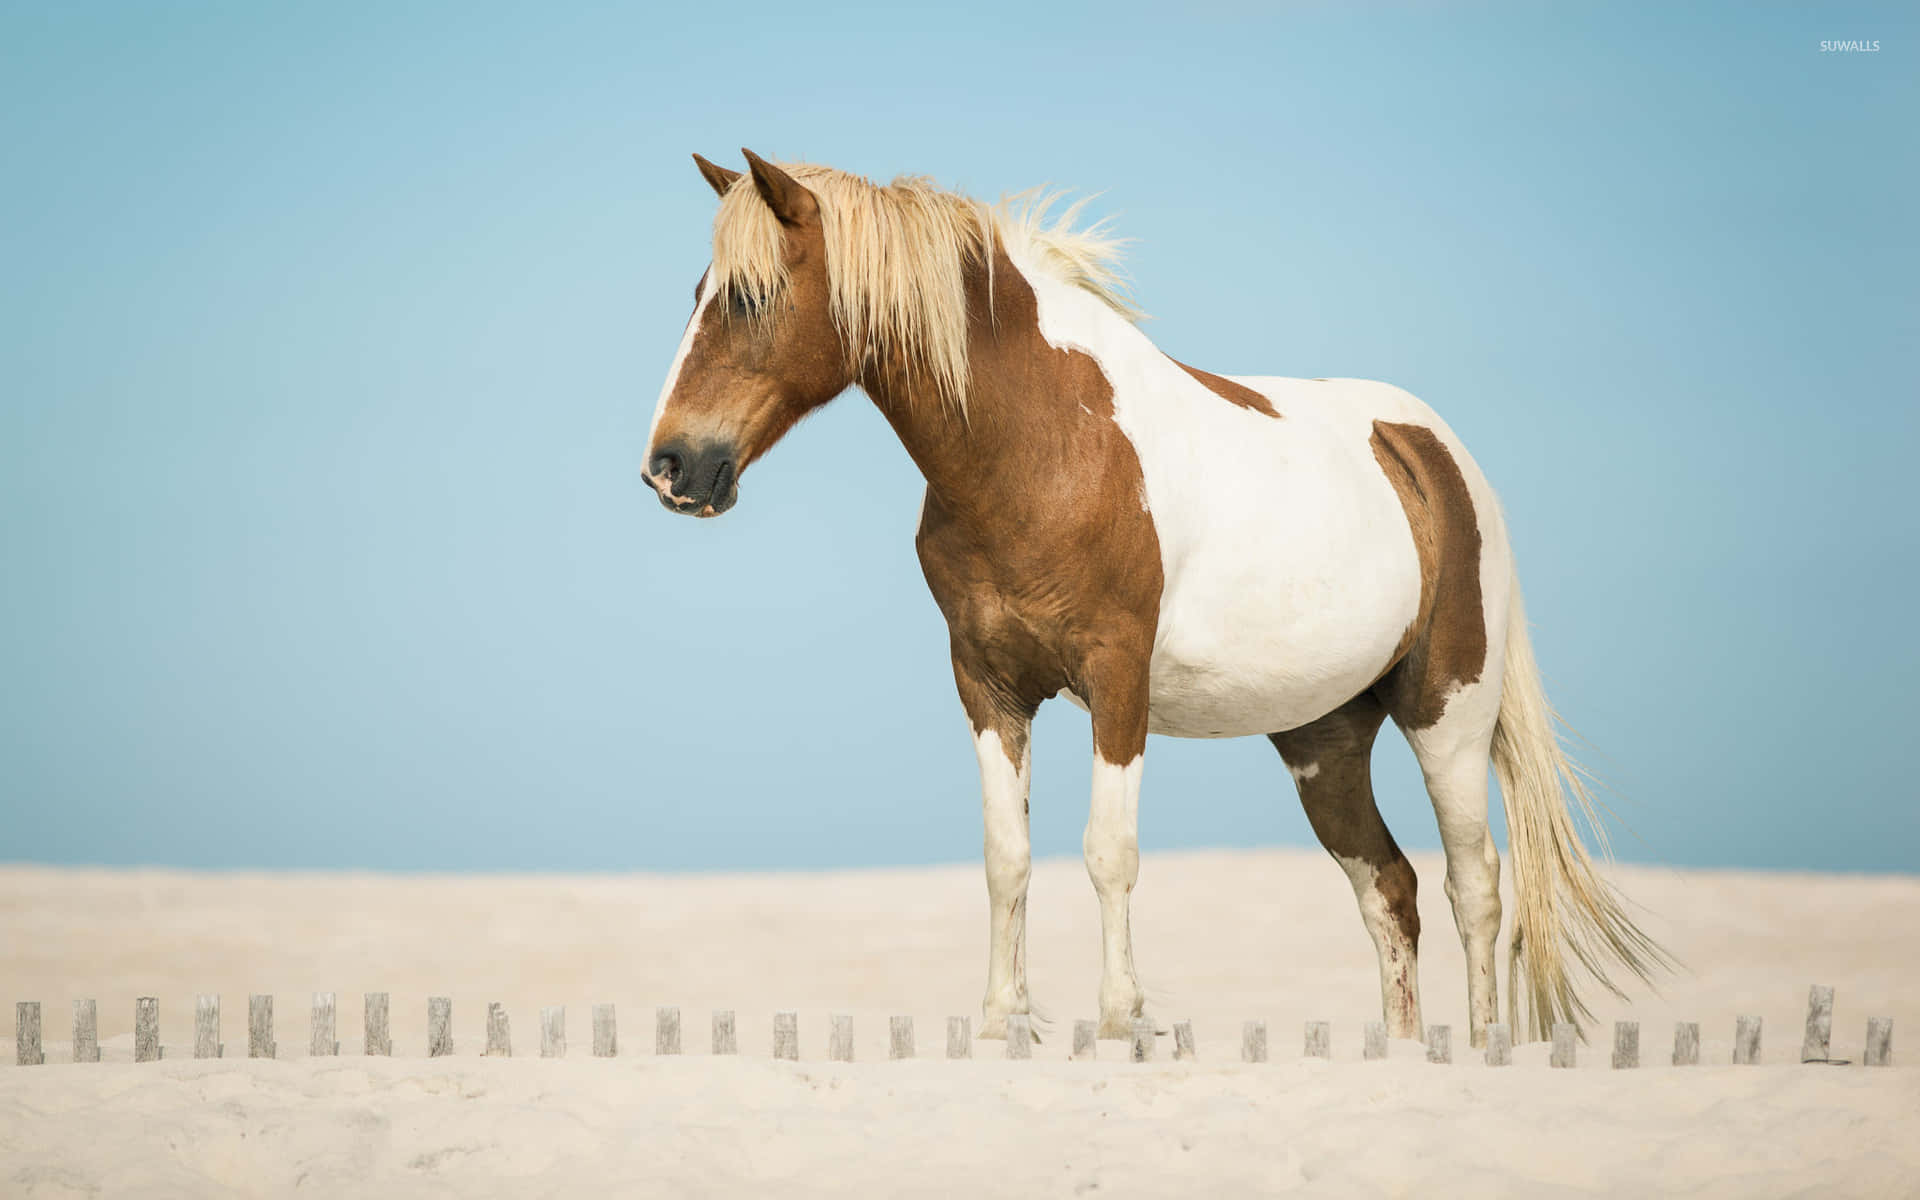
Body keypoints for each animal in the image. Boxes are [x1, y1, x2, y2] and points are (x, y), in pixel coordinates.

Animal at [642, 149, 1667, 1045]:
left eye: (749, 296)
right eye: (698, 293)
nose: (671, 466)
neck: (1045, 444)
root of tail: (1434, 450)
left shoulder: (1117, 679)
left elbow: (1109, 853)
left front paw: (1119, 1022)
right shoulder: (987, 685)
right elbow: (1006, 858)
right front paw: (1000, 1025)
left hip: (1448, 712)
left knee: (1475, 884)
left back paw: (1486, 1043)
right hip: (1325, 741)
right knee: (1390, 891)